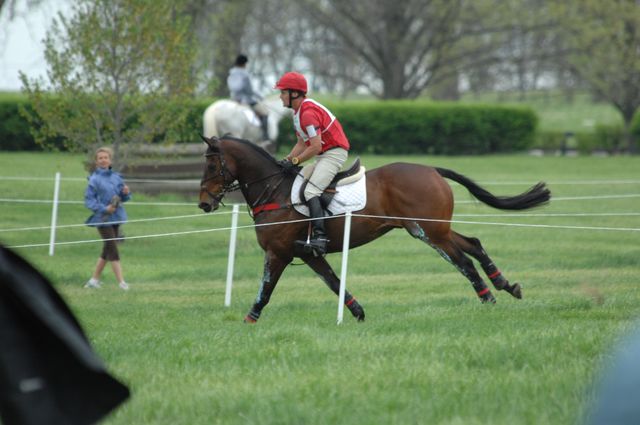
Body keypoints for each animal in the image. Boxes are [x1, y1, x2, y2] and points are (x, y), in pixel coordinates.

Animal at [199, 136, 552, 322]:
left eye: (211, 164)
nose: (204, 203)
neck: (274, 192)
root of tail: (431, 169)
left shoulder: (278, 252)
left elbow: (266, 288)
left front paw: (249, 319)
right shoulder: (309, 255)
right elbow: (334, 282)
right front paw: (357, 313)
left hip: (428, 232)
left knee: (462, 261)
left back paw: (488, 297)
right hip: (436, 229)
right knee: (474, 244)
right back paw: (505, 285)